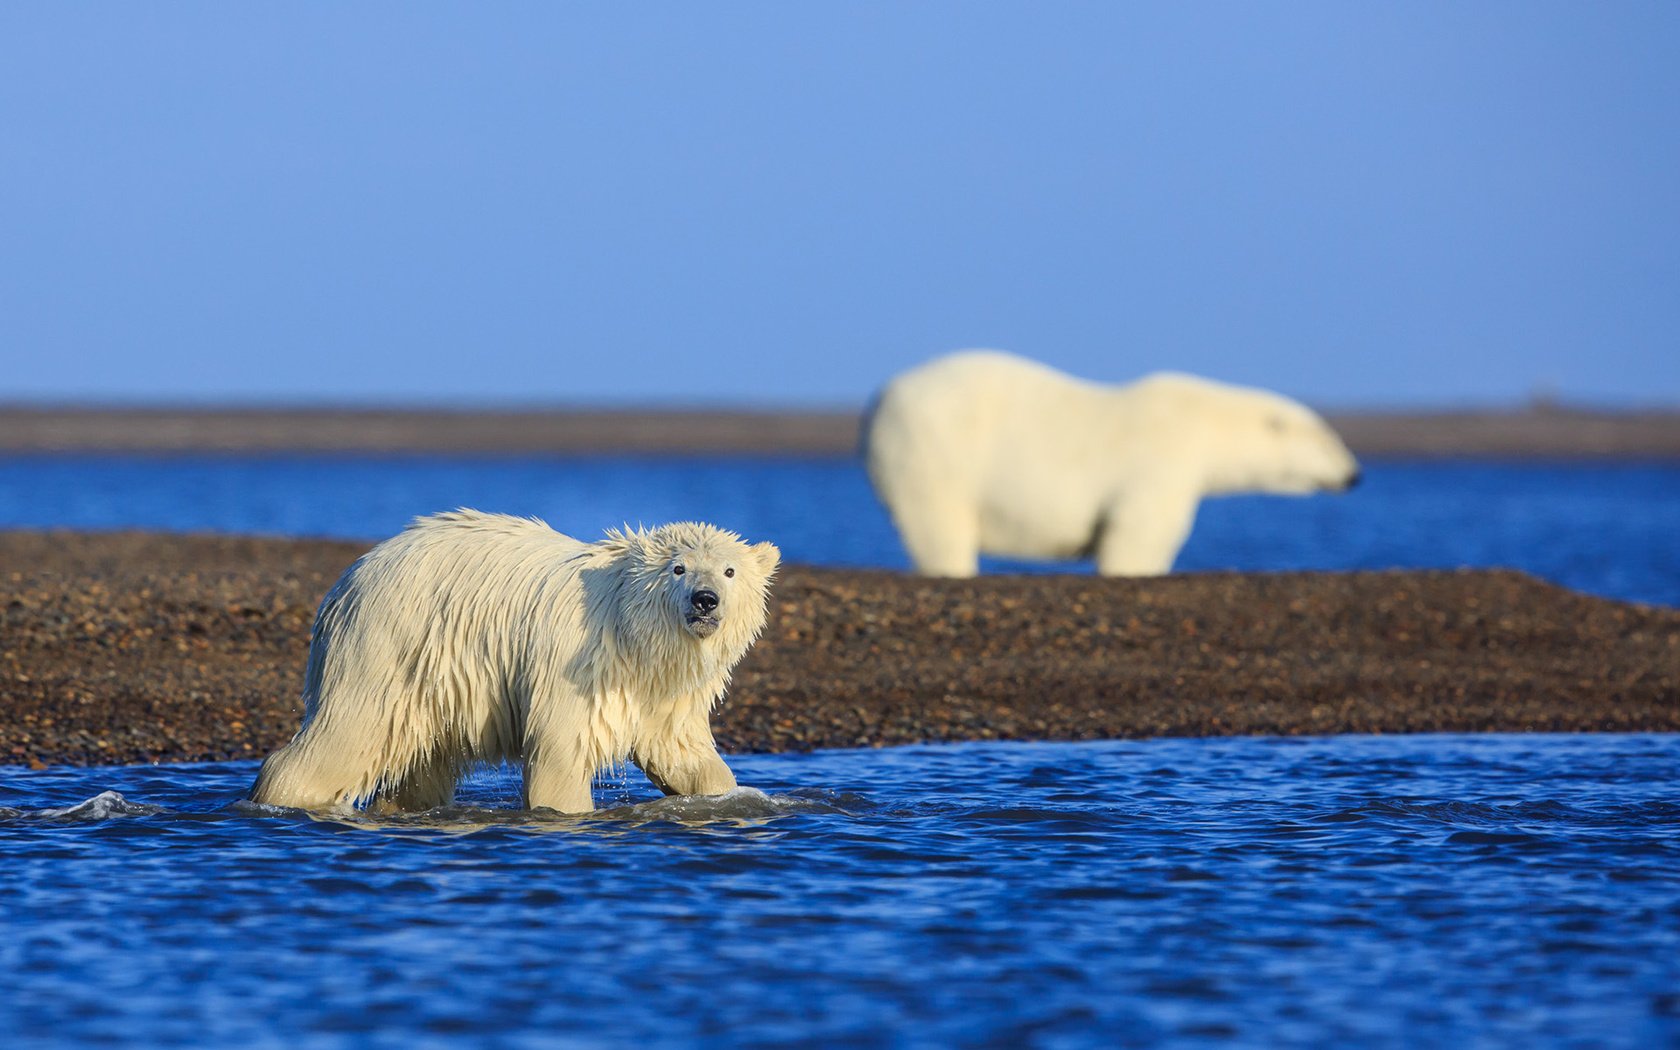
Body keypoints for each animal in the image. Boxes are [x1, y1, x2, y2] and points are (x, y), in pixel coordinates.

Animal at [246, 510, 779, 816]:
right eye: (678, 568)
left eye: (730, 570)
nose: (706, 600)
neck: (632, 631)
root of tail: (345, 582)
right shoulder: (580, 663)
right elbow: (562, 752)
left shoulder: (662, 686)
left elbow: (680, 749)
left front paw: (734, 796)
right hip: (388, 642)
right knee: (348, 732)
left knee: (421, 762)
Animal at [860, 352, 1357, 581]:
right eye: (1330, 440)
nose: (1355, 475)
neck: (1203, 424)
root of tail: (879, 399)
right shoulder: (1160, 461)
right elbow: (1142, 531)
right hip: (934, 450)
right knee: (940, 523)